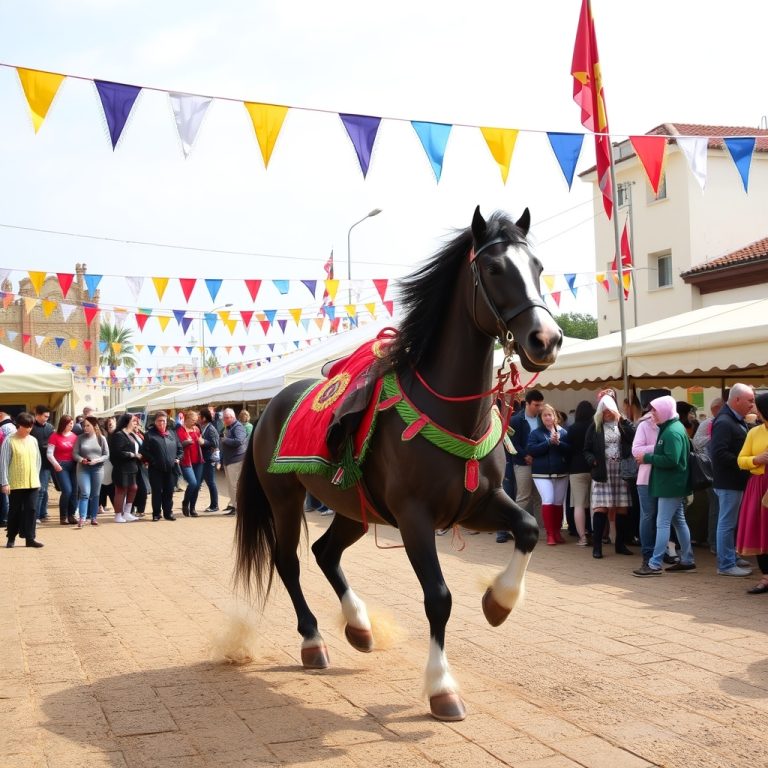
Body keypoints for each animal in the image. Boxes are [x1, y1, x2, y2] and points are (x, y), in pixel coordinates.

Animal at [234, 206, 563, 721]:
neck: (448, 409)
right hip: (286, 500)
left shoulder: (480, 504)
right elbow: (439, 597)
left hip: (354, 508)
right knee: (289, 562)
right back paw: (313, 640)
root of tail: (267, 409)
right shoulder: (414, 518)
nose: (545, 340)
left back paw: (359, 626)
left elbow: (528, 527)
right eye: (493, 269)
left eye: (538, 266)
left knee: (325, 553)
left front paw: (499, 602)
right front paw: (441, 686)